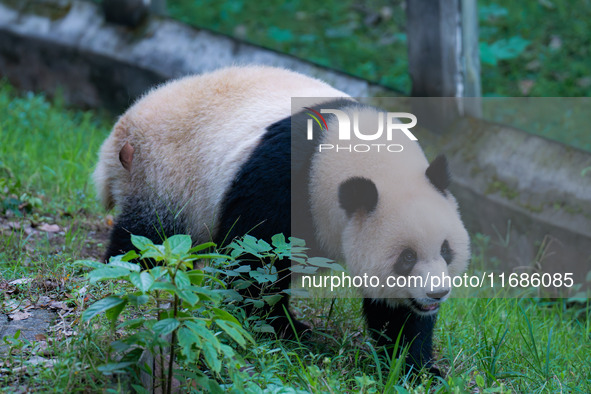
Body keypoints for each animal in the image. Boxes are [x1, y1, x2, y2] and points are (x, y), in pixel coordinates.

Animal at [93, 66, 472, 374]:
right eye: (406, 257)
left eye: (446, 250)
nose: (437, 293)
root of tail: (121, 127)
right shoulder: (283, 178)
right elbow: (254, 258)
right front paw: (280, 329)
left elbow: (396, 312)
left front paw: (416, 366)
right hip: (163, 170)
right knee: (151, 236)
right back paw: (130, 269)